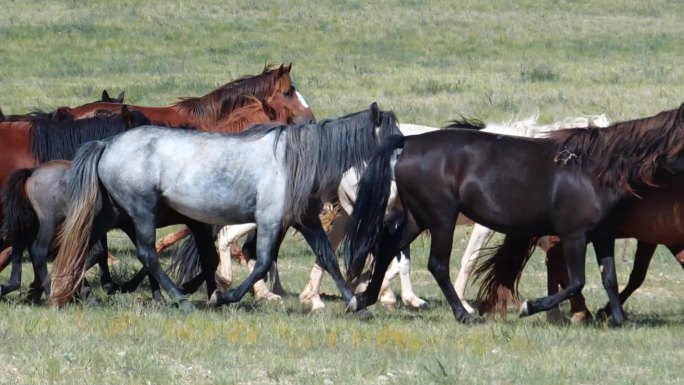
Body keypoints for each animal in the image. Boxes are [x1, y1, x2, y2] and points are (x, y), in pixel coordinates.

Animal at [49, 101, 400, 312]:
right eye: (392, 138)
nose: (402, 172)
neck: (294, 160)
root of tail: (107, 143)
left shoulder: (304, 221)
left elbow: (327, 256)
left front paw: (355, 304)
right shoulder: (270, 221)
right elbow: (261, 262)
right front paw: (222, 296)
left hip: (115, 213)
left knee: (83, 242)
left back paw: (71, 290)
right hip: (140, 212)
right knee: (147, 255)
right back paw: (181, 300)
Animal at [344, 103, 684, 324]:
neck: (593, 169)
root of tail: (409, 141)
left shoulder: (602, 236)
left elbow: (610, 278)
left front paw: (616, 318)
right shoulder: (574, 235)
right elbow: (577, 281)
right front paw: (530, 307)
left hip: (418, 217)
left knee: (387, 248)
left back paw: (362, 301)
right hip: (441, 217)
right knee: (437, 264)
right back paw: (463, 314)